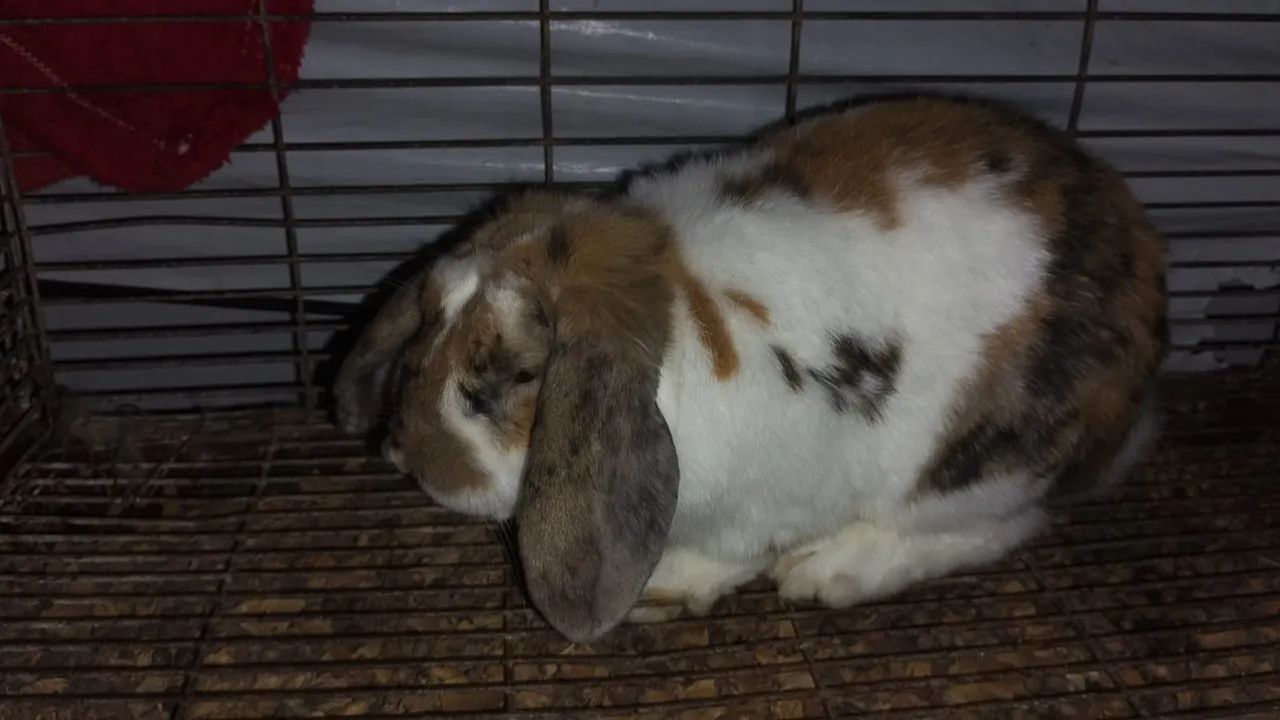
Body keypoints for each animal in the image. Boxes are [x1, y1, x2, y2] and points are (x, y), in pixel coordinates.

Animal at [334, 94, 1168, 643]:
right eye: (427, 318)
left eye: (512, 376)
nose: (411, 457)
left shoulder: (761, 506)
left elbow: (728, 552)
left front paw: (667, 586)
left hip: (974, 472)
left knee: (999, 528)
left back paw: (829, 569)